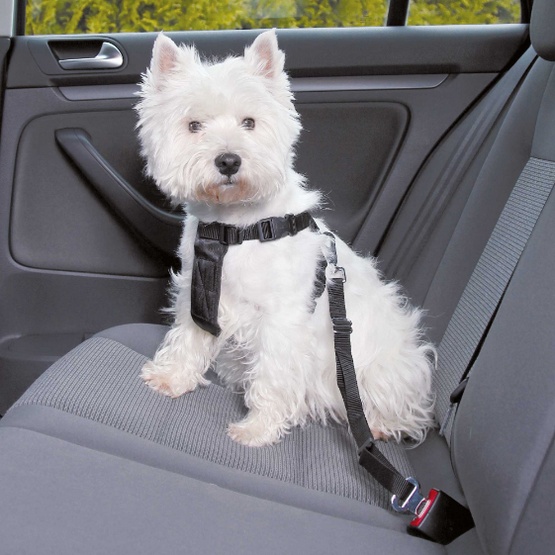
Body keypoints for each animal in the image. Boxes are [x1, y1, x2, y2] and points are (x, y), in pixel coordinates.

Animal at [135, 30, 435, 447]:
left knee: (395, 406)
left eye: (249, 122)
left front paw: (257, 429)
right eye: (194, 125)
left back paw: (377, 425)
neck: (235, 228)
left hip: (381, 367)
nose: (228, 161)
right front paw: (171, 378)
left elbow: (273, 375)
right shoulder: (200, 294)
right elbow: (188, 338)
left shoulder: (281, 319)